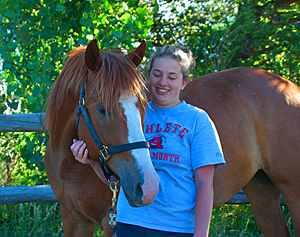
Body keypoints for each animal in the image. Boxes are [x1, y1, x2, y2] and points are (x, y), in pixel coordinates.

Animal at [44, 39, 159, 236]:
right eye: (102, 109)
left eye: (143, 105)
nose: (148, 186)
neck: (69, 167)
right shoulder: (73, 218)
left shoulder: (110, 222)